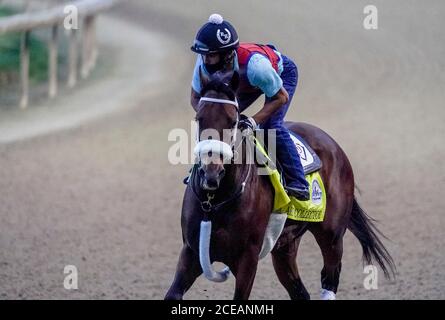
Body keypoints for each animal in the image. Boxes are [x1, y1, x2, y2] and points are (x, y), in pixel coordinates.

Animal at [165, 70, 394, 300]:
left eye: (232, 120)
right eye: (199, 118)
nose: (212, 173)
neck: (215, 200)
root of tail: (334, 145)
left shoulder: (248, 258)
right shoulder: (191, 251)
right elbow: (173, 294)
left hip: (332, 236)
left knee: (329, 276)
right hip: (285, 247)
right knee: (300, 292)